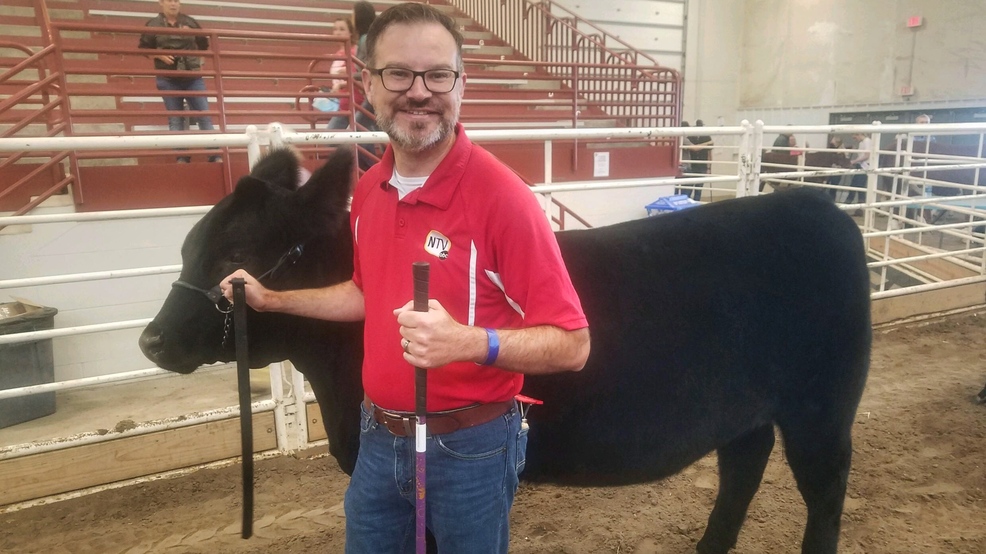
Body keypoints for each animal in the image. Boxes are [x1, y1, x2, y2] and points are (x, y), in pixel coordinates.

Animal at [140, 147, 868, 552]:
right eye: (187, 245)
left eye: (233, 256)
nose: (151, 340)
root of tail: (819, 208)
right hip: (746, 410)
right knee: (743, 469)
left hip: (822, 406)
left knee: (826, 491)